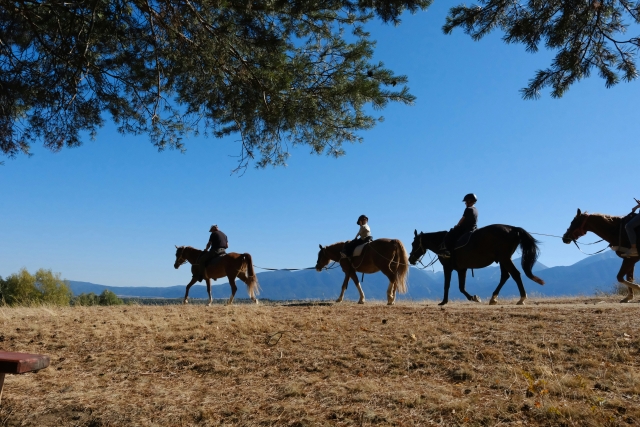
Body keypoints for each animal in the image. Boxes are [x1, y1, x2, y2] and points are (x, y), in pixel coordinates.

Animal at [408, 225, 545, 306]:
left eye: (414, 243)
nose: (410, 259)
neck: (442, 242)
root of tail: (513, 228)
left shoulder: (448, 268)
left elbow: (447, 285)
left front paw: (444, 302)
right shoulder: (461, 269)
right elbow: (461, 287)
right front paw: (474, 297)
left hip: (505, 259)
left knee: (515, 274)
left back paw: (522, 298)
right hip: (503, 259)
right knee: (505, 276)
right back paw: (493, 298)